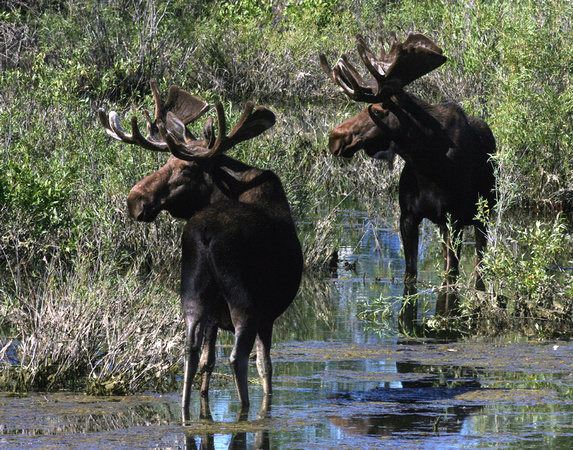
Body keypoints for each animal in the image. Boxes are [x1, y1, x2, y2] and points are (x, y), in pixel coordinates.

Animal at [98, 80, 304, 418]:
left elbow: (208, 361)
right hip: (244, 301)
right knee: (237, 357)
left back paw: (185, 409)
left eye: (185, 169)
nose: (135, 200)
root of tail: (206, 236)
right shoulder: (268, 315)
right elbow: (265, 367)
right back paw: (245, 412)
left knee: (190, 351)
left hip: (192, 295)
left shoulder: (214, 317)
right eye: (167, 162)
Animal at [320, 31, 494, 318]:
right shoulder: (408, 215)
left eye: (378, 110)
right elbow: (410, 274)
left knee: (480, 263)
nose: (335, 138)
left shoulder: (455, 217)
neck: (427, 162)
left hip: (484, 216)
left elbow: (452, 275)